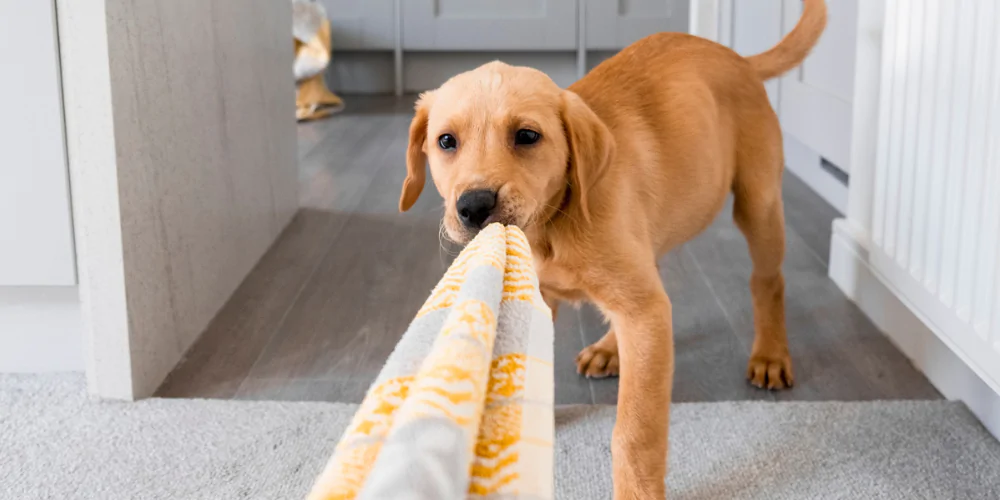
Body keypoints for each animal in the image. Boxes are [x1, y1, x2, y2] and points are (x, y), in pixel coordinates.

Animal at [398, 0, 828, 494]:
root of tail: (738, 58)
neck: (553, 225)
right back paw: (610, 347)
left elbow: (634, 432)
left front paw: (637, 490)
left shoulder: (644, 315)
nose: (473, 205)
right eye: (446, 142)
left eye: (527, 136)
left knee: (767, 281)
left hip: (758, 204)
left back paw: (771, 354)